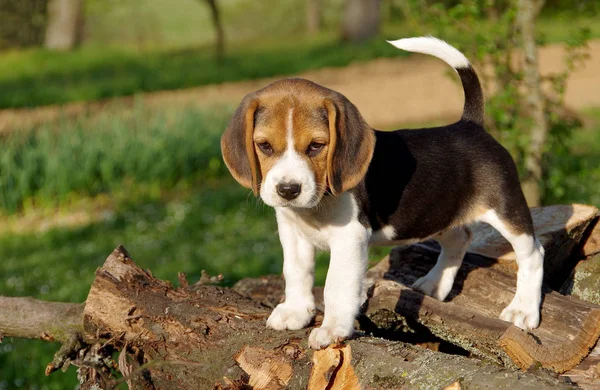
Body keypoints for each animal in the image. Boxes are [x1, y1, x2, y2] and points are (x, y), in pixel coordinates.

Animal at [220, 37, 544, 350]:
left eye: (316, 146)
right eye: (264, 146)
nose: (288, 190)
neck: (315, 207)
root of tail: (470, 126)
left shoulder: (350, 237)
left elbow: (336, 285)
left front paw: (332, 329)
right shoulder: (292, 231)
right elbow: (296, 273)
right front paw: (295, 312)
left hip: (506, 209)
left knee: (532, 253)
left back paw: (523, 310)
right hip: (438, 210)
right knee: (459, 238)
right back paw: (435, 284)